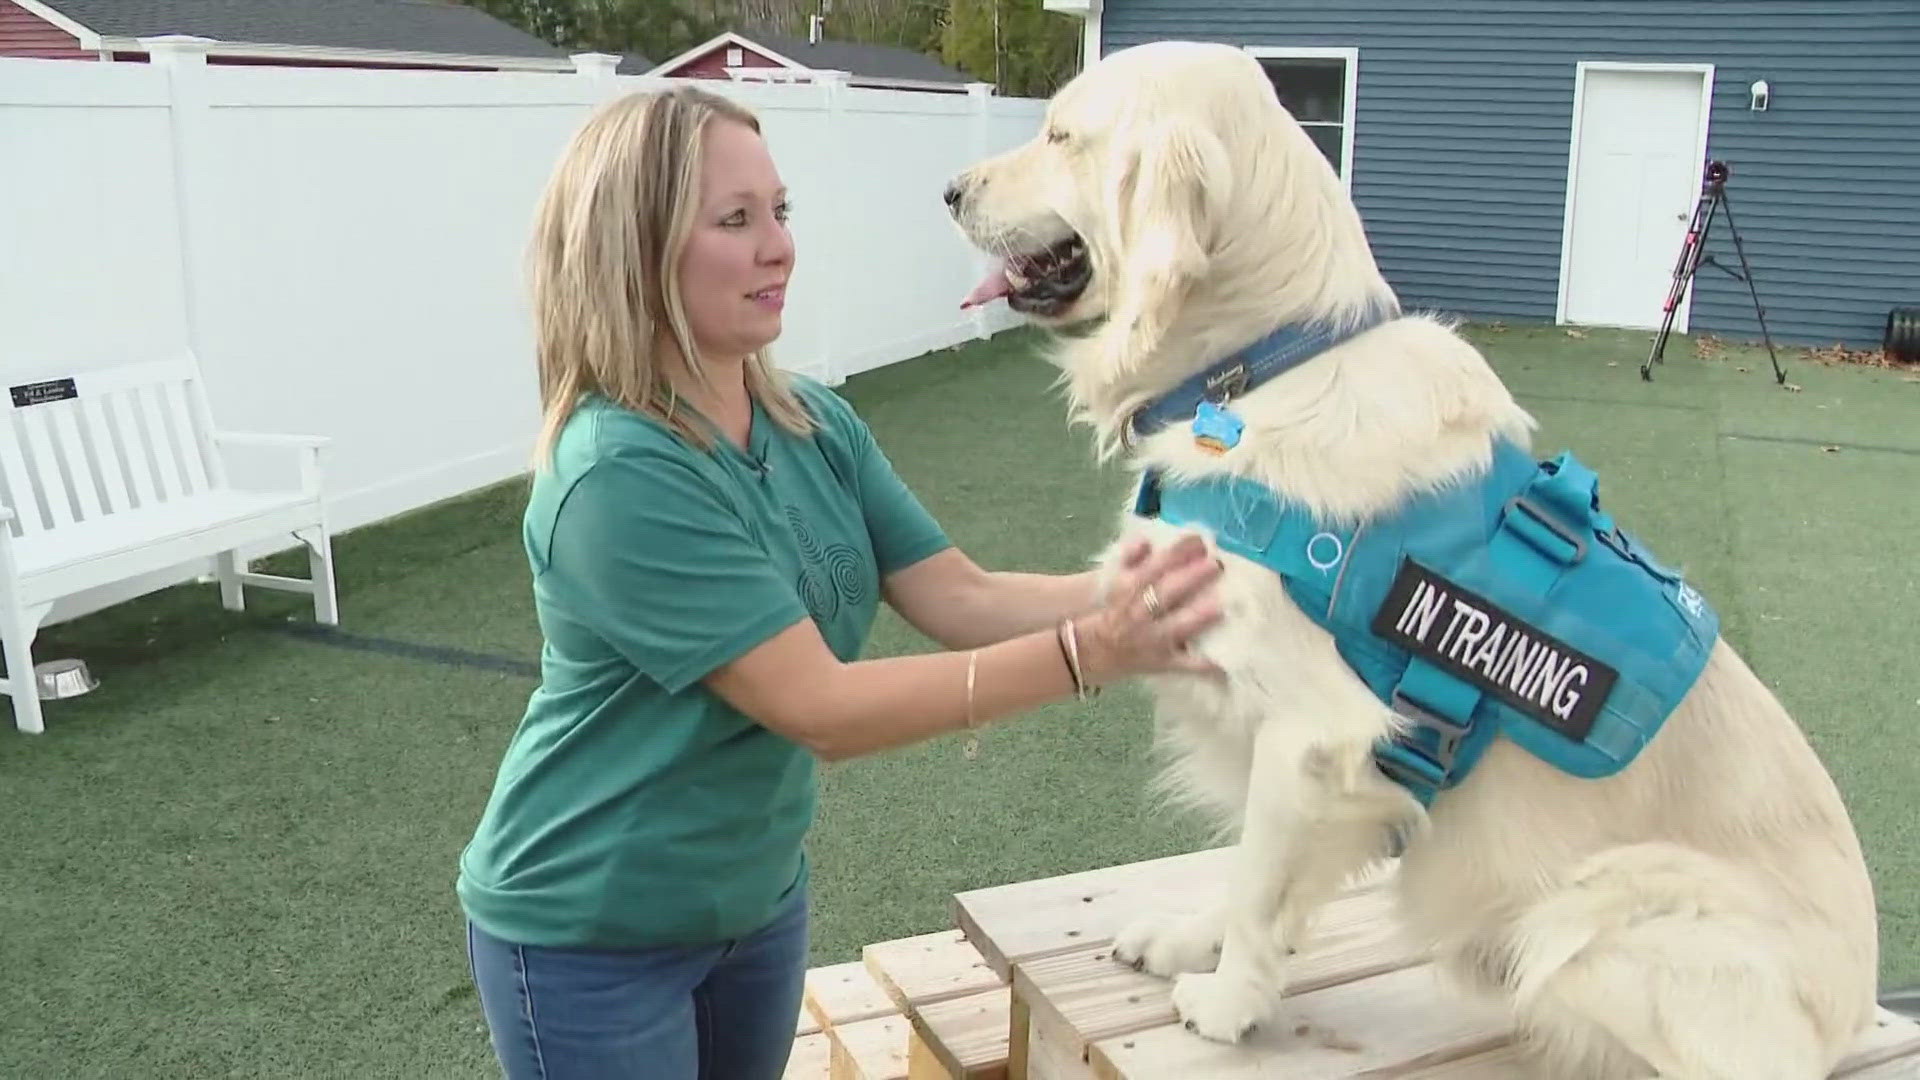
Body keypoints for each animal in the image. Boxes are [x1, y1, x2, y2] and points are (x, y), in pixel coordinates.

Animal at [940, 37, 1873, 1068]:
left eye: (1062, 135)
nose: (949, 190)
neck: (1259, 370)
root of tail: (1856, 1008)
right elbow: (1254, 867)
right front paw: (1194, 942)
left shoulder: (1313, 728)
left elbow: (1261, 882)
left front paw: (1227, 1003)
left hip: (1591, 922)